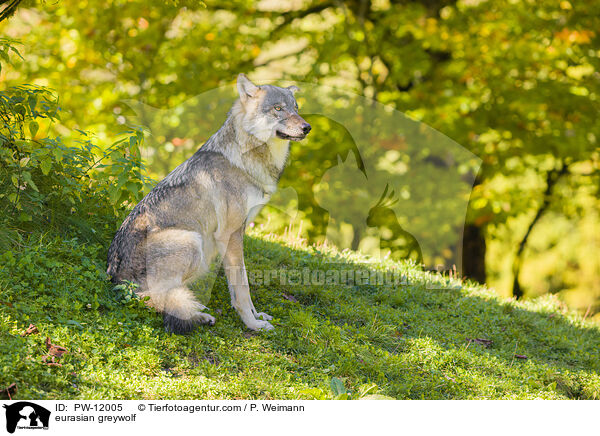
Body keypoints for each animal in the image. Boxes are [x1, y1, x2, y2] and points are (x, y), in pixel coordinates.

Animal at [106, 74, 312, 334]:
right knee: (153, 297)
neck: (245, 159)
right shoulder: (230, 235)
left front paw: (256, 315)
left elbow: (241, 287)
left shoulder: (237, 233)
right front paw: (253, 324)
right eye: (278, 109)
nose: (307, 127)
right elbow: (242, 287)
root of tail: (115, 278)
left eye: (296, 109)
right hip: (194, 242)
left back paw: (199, 312)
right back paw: (198, 316)